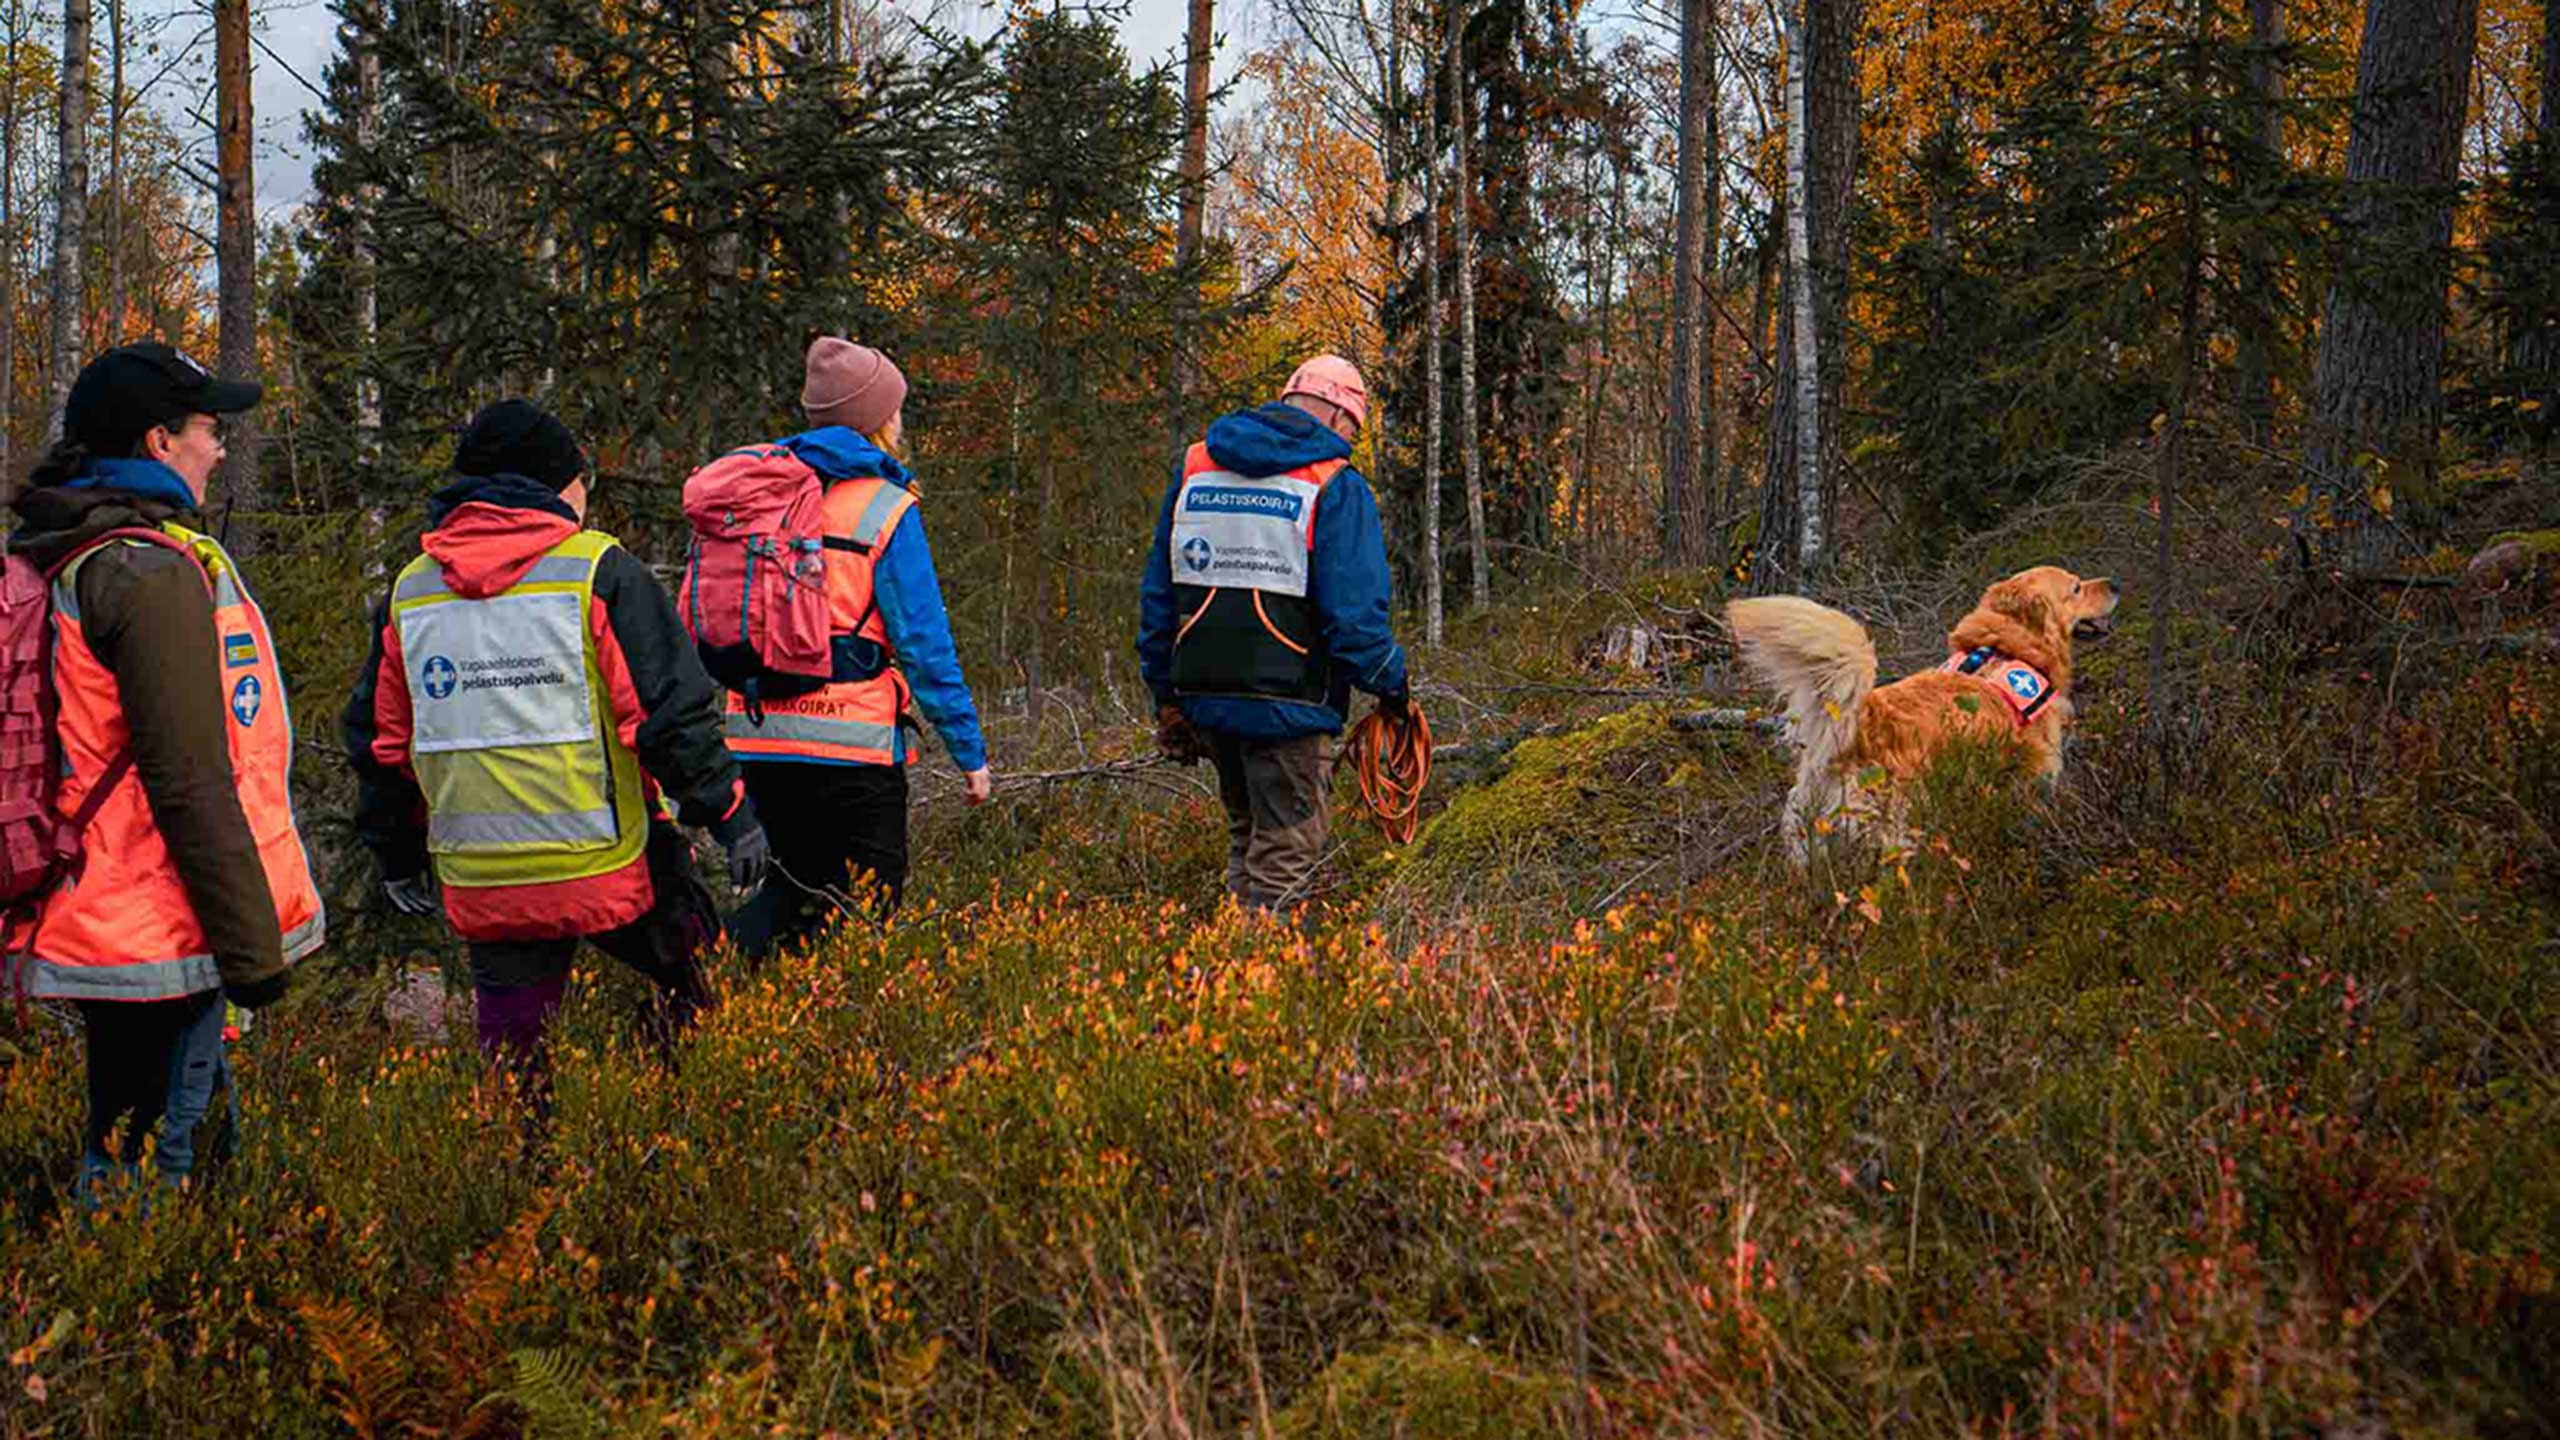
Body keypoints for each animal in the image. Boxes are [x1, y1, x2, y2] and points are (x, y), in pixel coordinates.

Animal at [1730, 563, 2129, 855]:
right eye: (2076, 588)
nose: (2117, 583)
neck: (2007, 649)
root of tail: (1861, 723)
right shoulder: (2034, 780)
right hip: (1895, 831)